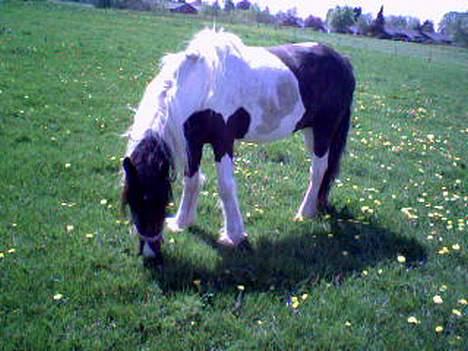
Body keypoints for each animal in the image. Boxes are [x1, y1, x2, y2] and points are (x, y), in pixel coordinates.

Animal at [120, 28, 354, 262]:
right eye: (132, 202)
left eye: (155, 199)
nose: (150, 255)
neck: (200, 85)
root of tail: (342, 60)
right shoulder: (192, 142)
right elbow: (191, 181)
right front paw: (181, 223)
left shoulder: (223, 141)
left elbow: (225, 187)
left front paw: (234, 236)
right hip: (310, 131)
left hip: (324, 131)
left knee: (318, 170)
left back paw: (304, 214)